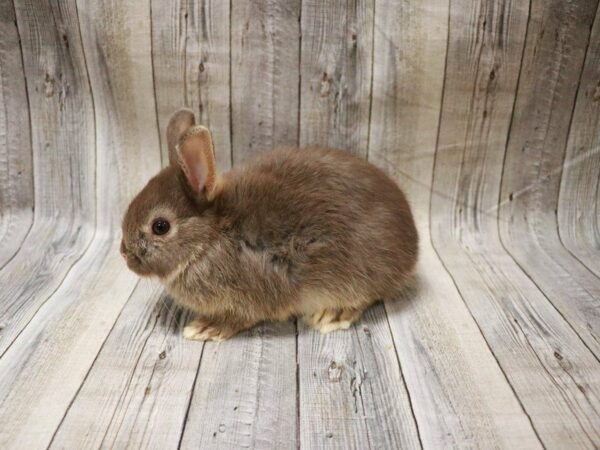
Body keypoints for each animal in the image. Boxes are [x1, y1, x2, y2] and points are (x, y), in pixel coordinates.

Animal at [121, 110, 418, 342]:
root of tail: (412, 246)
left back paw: (332, 315)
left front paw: (205, 328)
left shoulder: (248, 297)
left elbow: (238, 318)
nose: (125, 255)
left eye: (160, 226)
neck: (209, 239)